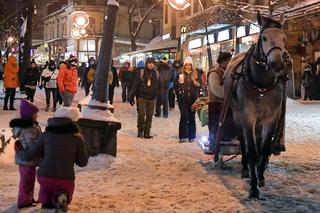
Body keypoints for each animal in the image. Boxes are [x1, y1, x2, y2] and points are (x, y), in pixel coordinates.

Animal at [224, 11, 292, 199]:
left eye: (284, 38)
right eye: (263, 38)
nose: (277, 64)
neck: (261, 85)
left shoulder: (270, 119)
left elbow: (264, 148)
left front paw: (260, 177)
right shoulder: (248, 118)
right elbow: (253, 152)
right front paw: (254, 188)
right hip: (237, 116)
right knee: (243, 141)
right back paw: (245, 168)